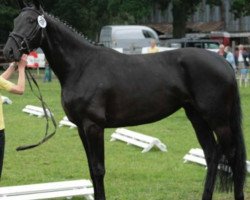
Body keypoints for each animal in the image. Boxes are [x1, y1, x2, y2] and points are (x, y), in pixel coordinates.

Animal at [3, 0, 246, 199]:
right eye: (15, 20)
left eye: (31, 21)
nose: (9, 51)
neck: (82, 66)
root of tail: (224, 63)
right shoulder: (81, 127)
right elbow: (91, 169)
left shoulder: (94, 126)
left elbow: (98, 169)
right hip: (196, 117)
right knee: (212, 155)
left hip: (218, 120)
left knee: (233, 157)